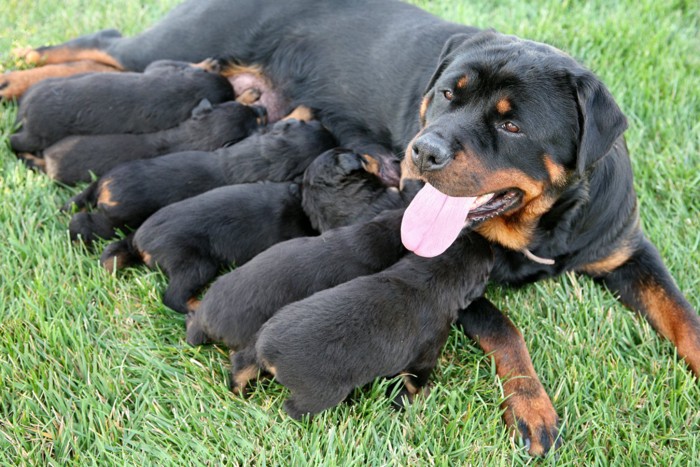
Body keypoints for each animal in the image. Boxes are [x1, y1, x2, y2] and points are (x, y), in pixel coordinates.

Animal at [230, 232, 492, 418]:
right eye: (488, 270)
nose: (485, 240)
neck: (432, 273)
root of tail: (268, 350)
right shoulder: (427, 352)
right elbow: (416, 380)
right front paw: (424, 393)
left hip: (256, 344)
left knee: (241, 364)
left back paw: (237, 390)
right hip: (321, 393)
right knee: (294, 410)